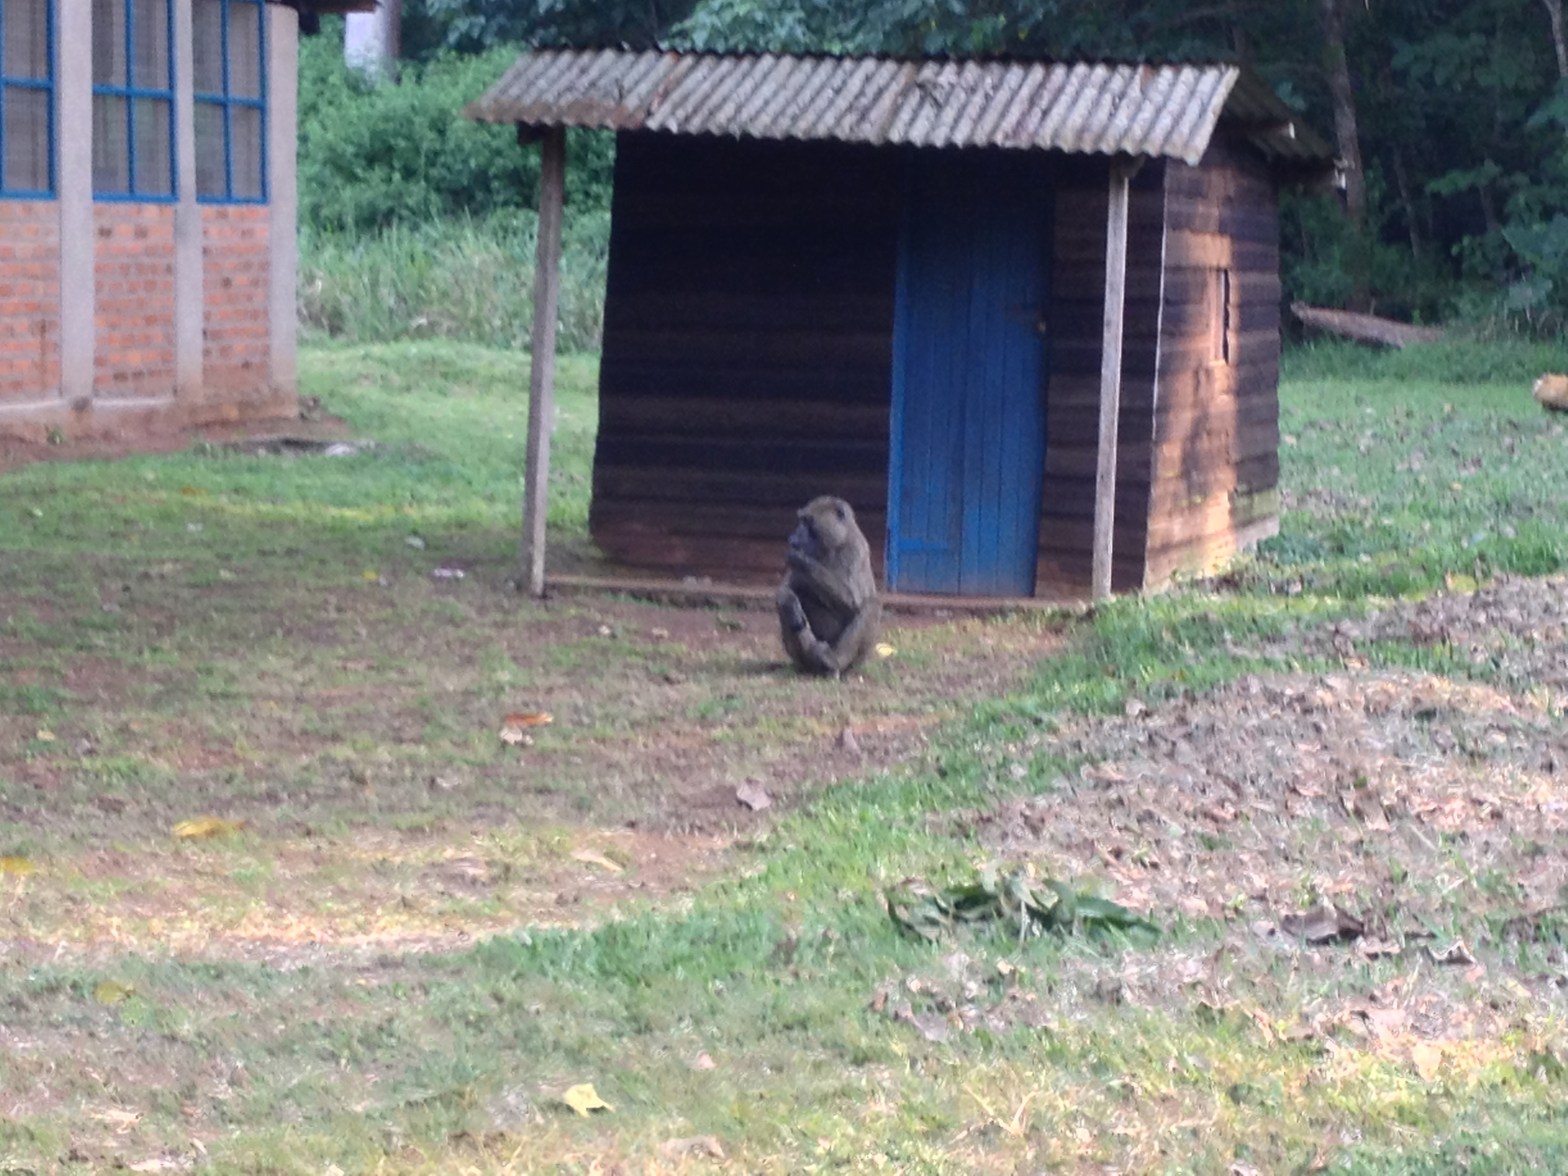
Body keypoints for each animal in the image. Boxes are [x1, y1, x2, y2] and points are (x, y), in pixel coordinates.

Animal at [776, 495, 881, 676]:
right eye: (801, 520)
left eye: (807, 521)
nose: (793, 538)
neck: (831, 546)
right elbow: (786, 591)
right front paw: (787, 600)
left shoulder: (853, 552)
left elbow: (852, 601)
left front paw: (800, 559)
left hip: (855, 662)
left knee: (871, 606)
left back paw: (831, 661)